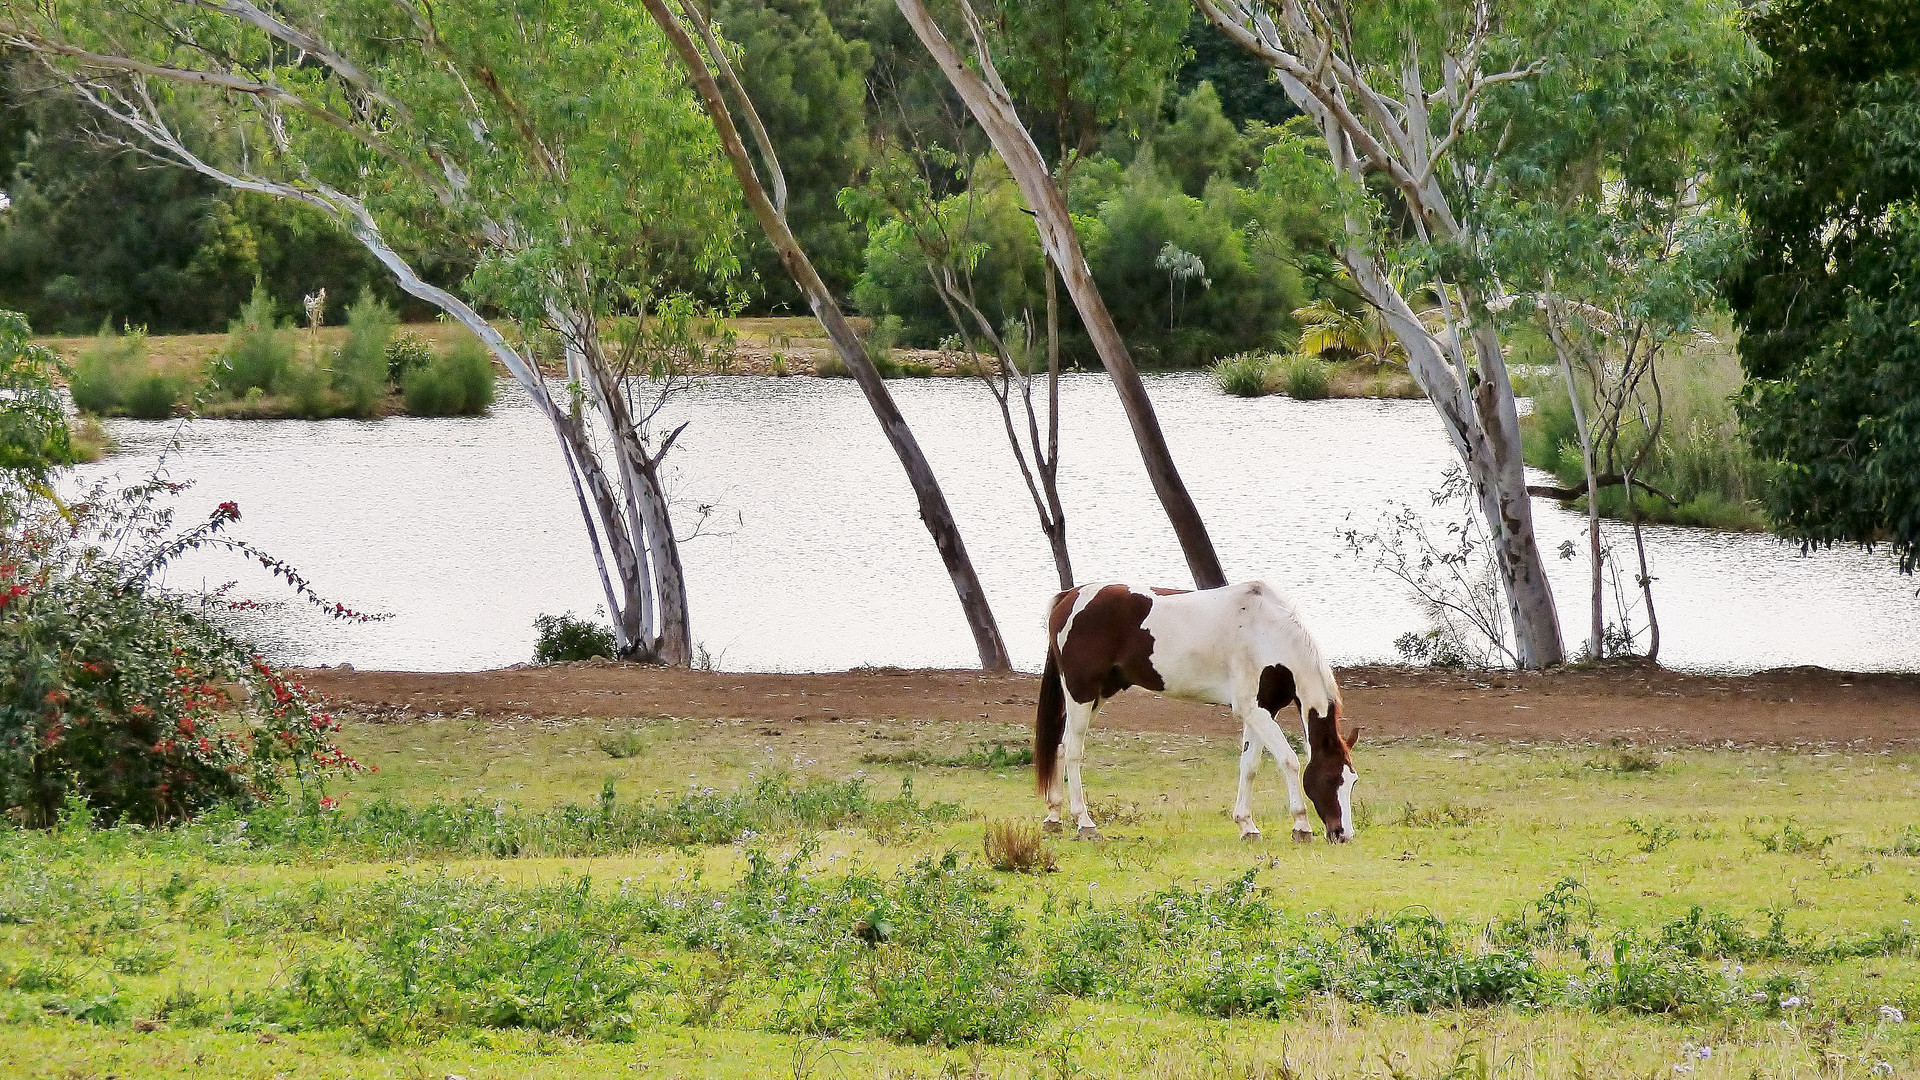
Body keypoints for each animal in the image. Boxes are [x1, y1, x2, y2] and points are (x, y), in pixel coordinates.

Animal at [1044, 580, 1359, 841]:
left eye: (1352, 781)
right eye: (1331, 779)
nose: (1342, 834)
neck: (1265, 631)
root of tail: (1069, 596)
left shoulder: (1262, 711)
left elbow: (1250, 766)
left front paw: (1247, 826)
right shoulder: (1254, 710)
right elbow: (1289, 761)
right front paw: (1301, 827)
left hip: (1098, 695)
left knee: (1060, 746)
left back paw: (1054, 816)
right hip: (1081, 693)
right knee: (1072, 752)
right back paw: (1084, 823)